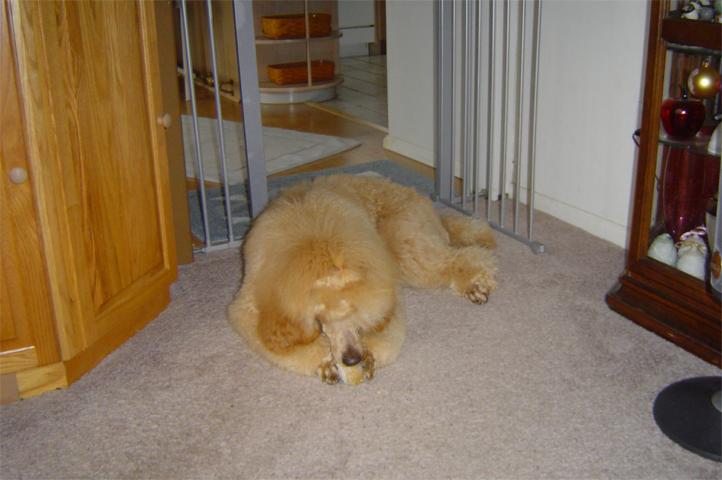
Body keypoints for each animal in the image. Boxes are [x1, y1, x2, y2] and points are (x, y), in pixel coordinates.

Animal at [228, 174, 497, 384]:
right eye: (321, 318)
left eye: (357, 311)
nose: (352, 359)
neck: (317, 244)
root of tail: (428, 205)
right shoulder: (252, 310)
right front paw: (325, 361)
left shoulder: (383, 287)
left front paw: (370, 354)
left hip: (405, 245)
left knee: (462, 257)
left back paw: (478, 283)